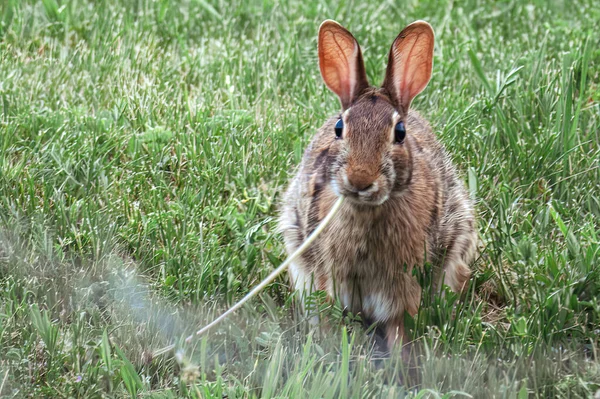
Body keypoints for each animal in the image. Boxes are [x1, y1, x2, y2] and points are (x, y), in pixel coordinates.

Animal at [278, 20, 478, 352]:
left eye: (400, 132)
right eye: (339, 128)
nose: (360, 180)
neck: (367, 211)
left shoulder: (404, 285)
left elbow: (399, 325)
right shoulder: (328, 275)